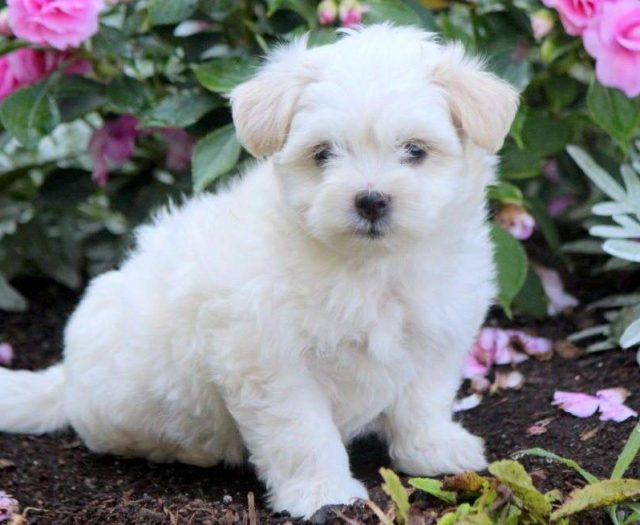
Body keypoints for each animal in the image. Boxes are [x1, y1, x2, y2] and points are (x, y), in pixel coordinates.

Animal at [0, 24, 520, 516]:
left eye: (415, 150)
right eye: (323, 153)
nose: (371, 200)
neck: (371, 266)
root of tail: (67, 377)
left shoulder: (439, 331)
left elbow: (423, 399)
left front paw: (433, 448)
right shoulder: (272, 361)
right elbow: (302, 432)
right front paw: (323, 492)